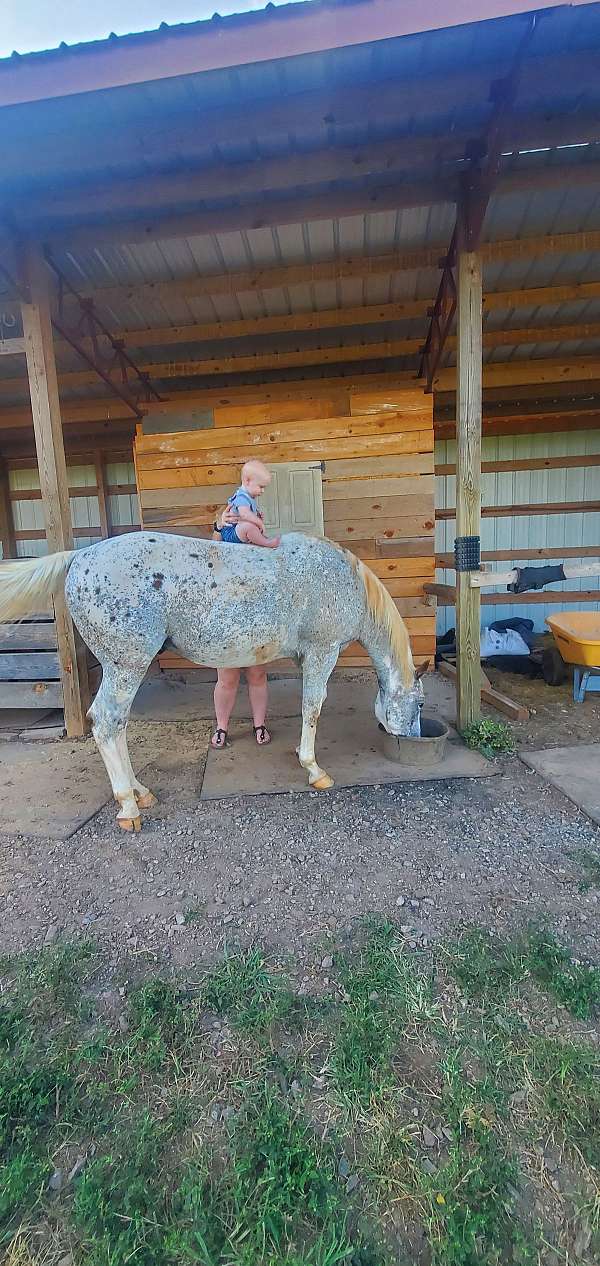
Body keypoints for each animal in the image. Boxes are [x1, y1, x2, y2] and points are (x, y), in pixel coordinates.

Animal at [0, 531, 425, 830]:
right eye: (419, 704)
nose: (414, 738)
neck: (340, 579)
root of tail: (80, 556)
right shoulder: (323, 652)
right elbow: (313, 708)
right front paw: (314, 770)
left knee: (116, 726)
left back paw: (141, 792)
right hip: (126, 666)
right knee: (106, 722)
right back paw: (128, 807)